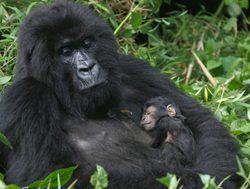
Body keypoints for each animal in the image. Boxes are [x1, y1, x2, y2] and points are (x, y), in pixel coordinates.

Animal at [0, 0, 238, 188]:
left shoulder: (131, 68)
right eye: (66, 52)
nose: (87, 67)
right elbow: (45, 173)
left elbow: (203, 125)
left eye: (87, 43)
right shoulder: (27, 95)